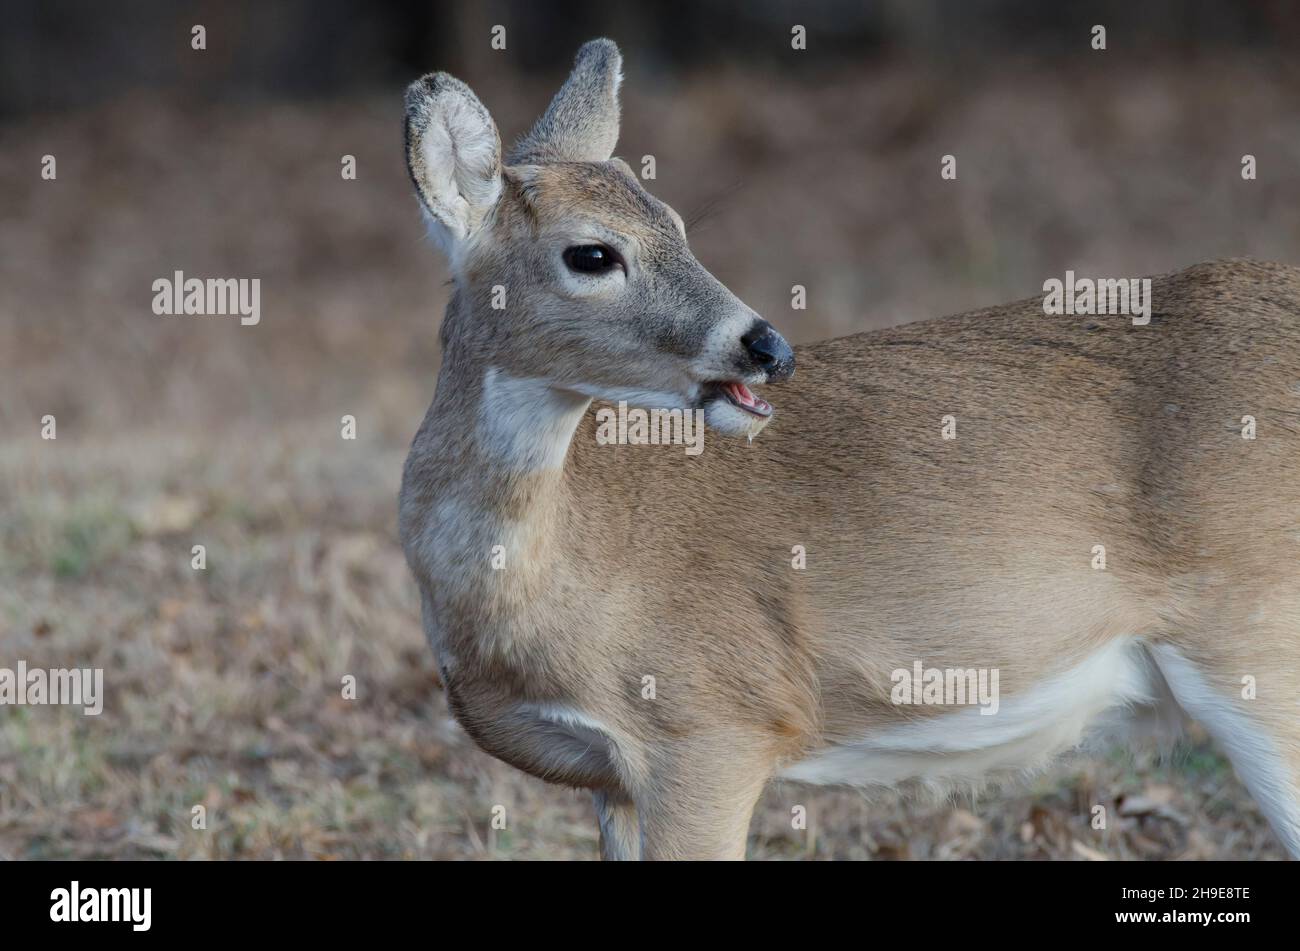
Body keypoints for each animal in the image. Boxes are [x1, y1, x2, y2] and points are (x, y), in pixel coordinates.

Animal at [398, 38, 1300, 860]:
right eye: (592, 252)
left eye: (677, 224)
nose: (767, 346)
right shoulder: (614, 778)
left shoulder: (711, 721)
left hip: (1257, 639)